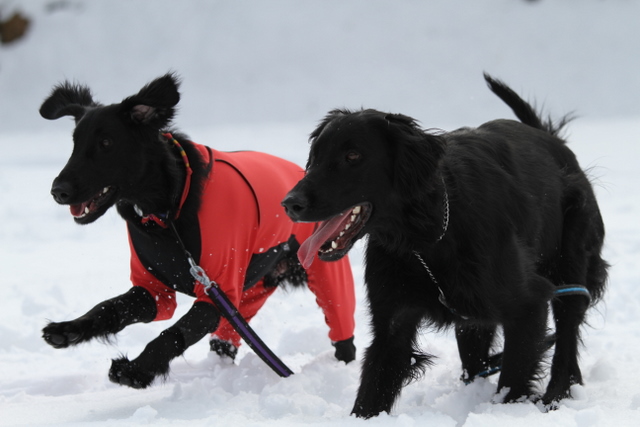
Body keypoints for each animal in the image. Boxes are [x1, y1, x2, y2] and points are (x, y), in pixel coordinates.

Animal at [282, 74, 608, 418]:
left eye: (353, 156)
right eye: (315, 156)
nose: (290, 203)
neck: (427, 238)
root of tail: (550, 138)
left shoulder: (529, 305)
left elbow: (513, 381)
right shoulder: (392, 325)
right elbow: (371, 393)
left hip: (570, 269)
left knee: (566, 339)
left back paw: (555, 396)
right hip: (473, 319)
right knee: (477, 362)